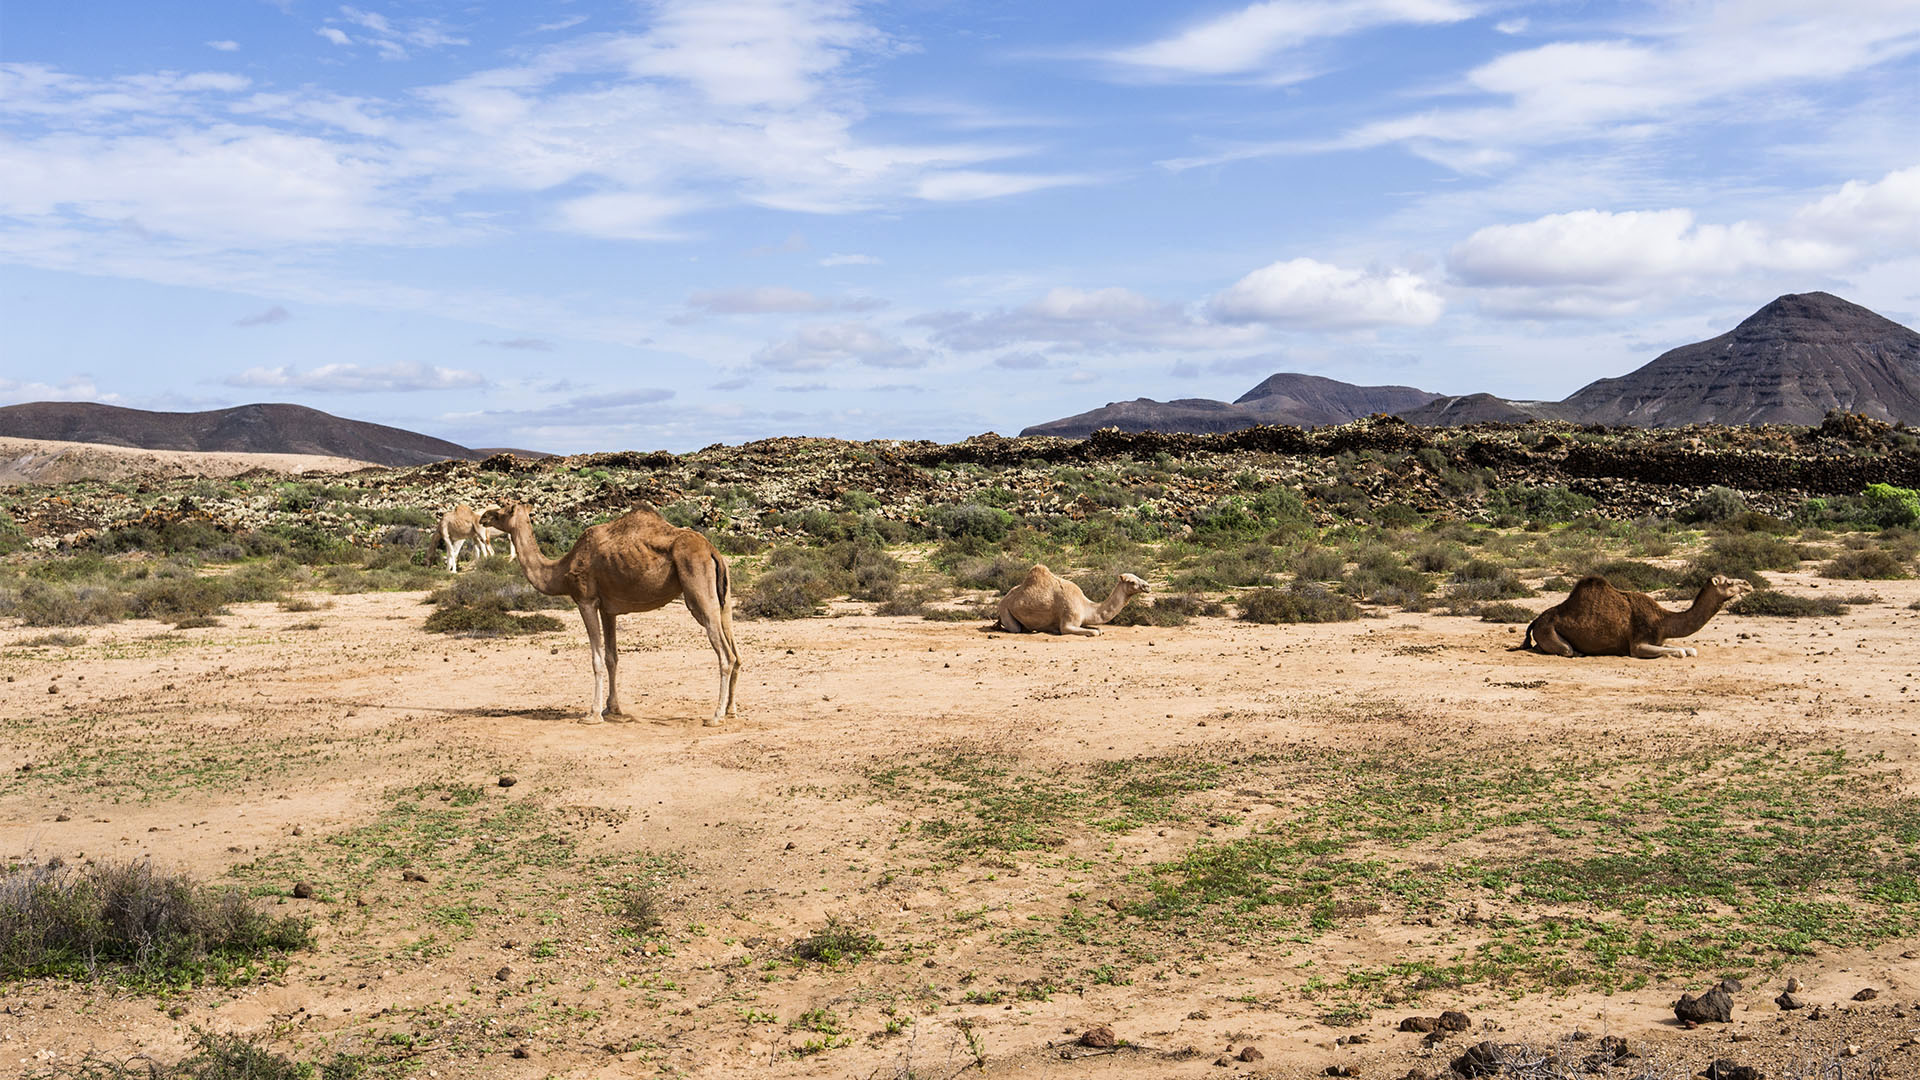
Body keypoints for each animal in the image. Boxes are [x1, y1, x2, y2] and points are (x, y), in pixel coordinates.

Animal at [480, 499, 741, 722]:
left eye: (504, 510)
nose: (484, 516)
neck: (560, 571)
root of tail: (712, 551)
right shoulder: (609, 609)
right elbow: (611, 658)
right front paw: (612, 708)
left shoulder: (586, 601)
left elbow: (595, 658)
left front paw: (593, 714)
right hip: (723, 596)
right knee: (736, 653)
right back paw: (731, 711)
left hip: (698, 590)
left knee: (725, 655)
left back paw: (716, 716)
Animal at [998, 564, 1144, 630]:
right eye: (1132, 582)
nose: (1147, 586)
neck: (1085, 606)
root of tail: (1003, 599)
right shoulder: (1068, 622)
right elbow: (1094, 632)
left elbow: (1097, 629)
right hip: (1005, 609)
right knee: (1015, 629)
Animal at [1512, 572, 1758, 657]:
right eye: (1728, 582)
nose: (1748, 584)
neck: (1663, 621)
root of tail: (1536, 620)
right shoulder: (1638, 644)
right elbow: (1679, 652)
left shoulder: (1658, 639)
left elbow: (1688, 649)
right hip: (1550, 630)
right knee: (1567, 650)